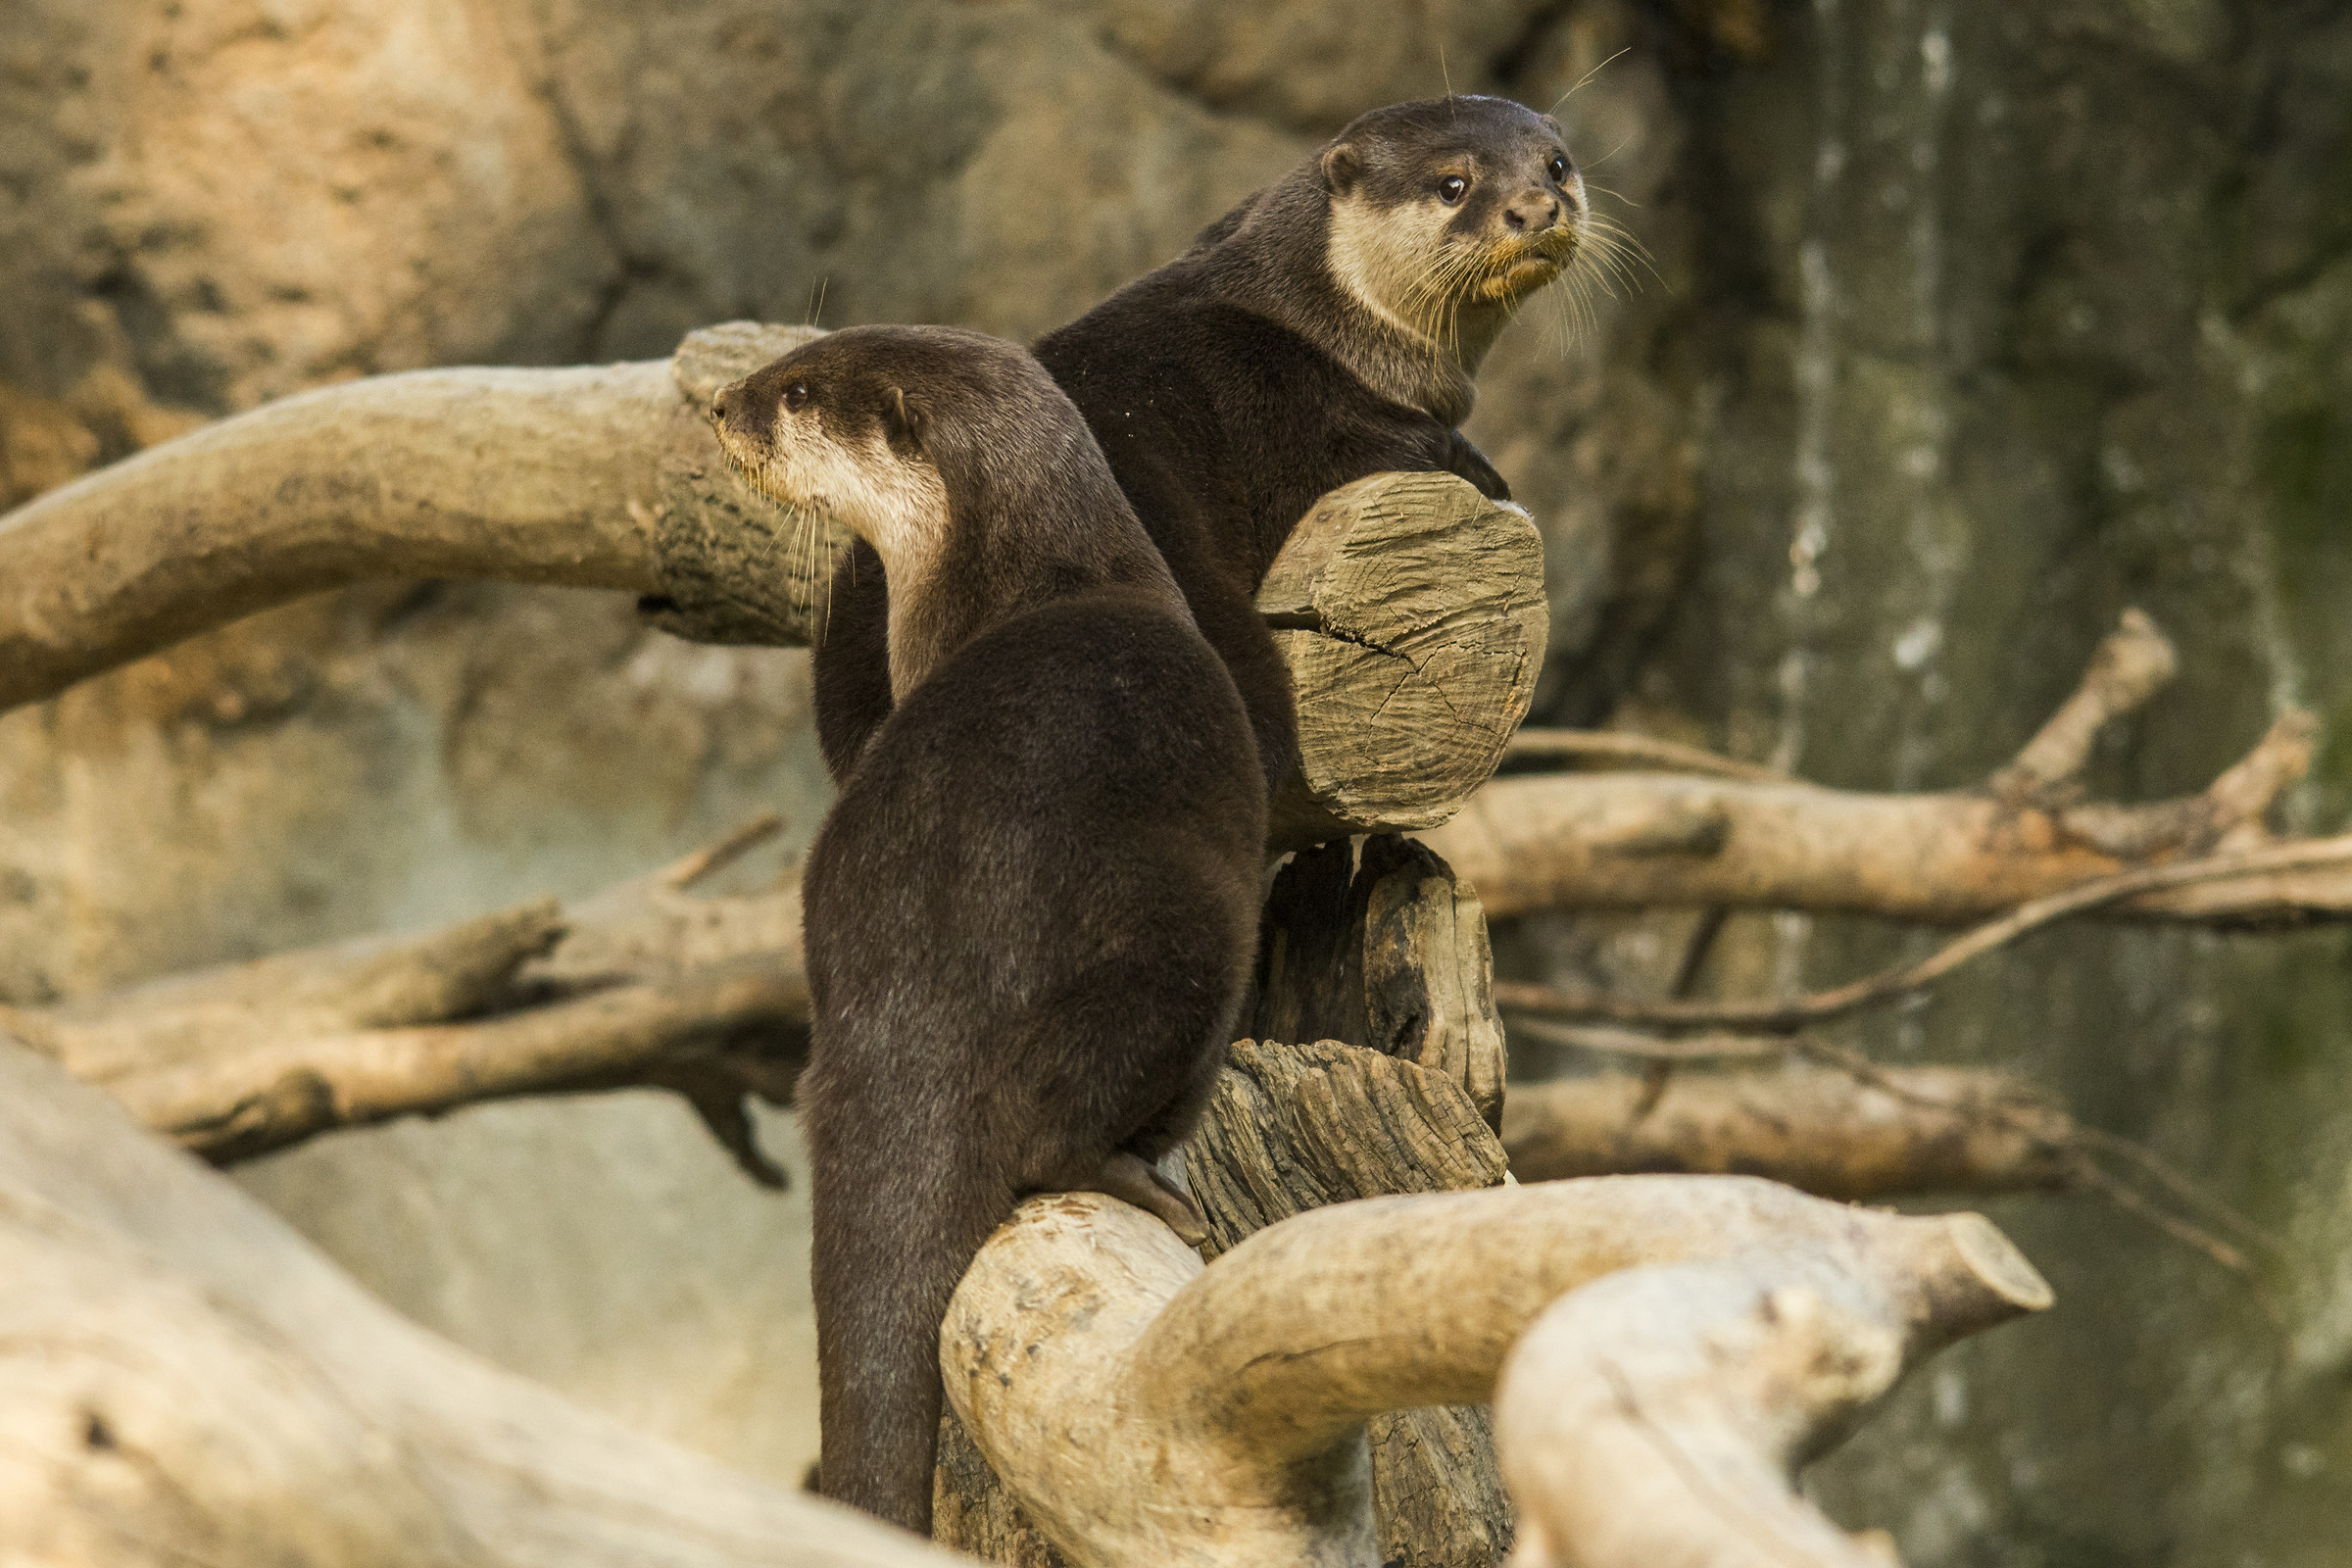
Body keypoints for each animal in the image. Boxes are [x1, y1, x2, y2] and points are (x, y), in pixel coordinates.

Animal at [812, 95, 1588, 790]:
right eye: (1453, 183)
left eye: (1556, 165)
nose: (1535, 208)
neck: (1323, 317)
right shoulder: (1276, 396)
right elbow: (1376, 448)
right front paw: (1483, 471)